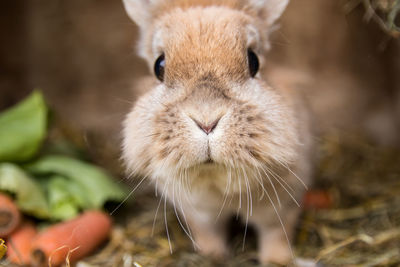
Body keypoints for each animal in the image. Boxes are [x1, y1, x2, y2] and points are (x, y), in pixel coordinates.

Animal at [120, 0, 314, 264]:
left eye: (254, 61)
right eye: (159, 66)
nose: (206, 121)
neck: (216, 179)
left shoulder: (283, 206)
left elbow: (276, 234)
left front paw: (277, 261)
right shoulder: (198, 213)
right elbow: (208, 235)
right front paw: (212, 255)